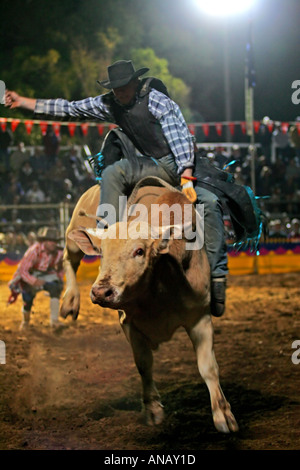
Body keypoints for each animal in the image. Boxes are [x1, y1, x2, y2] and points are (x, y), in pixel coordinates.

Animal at [60, 183, 239, 434]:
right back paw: (70, 300)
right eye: (102, 252)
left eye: (139, 251)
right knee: (70, 257)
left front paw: (223, 414)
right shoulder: (129, 323)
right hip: (76, 227)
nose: (101, 292)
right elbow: (144, 365)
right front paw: (152, 409)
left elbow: (208, 367)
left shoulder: (199, 317)